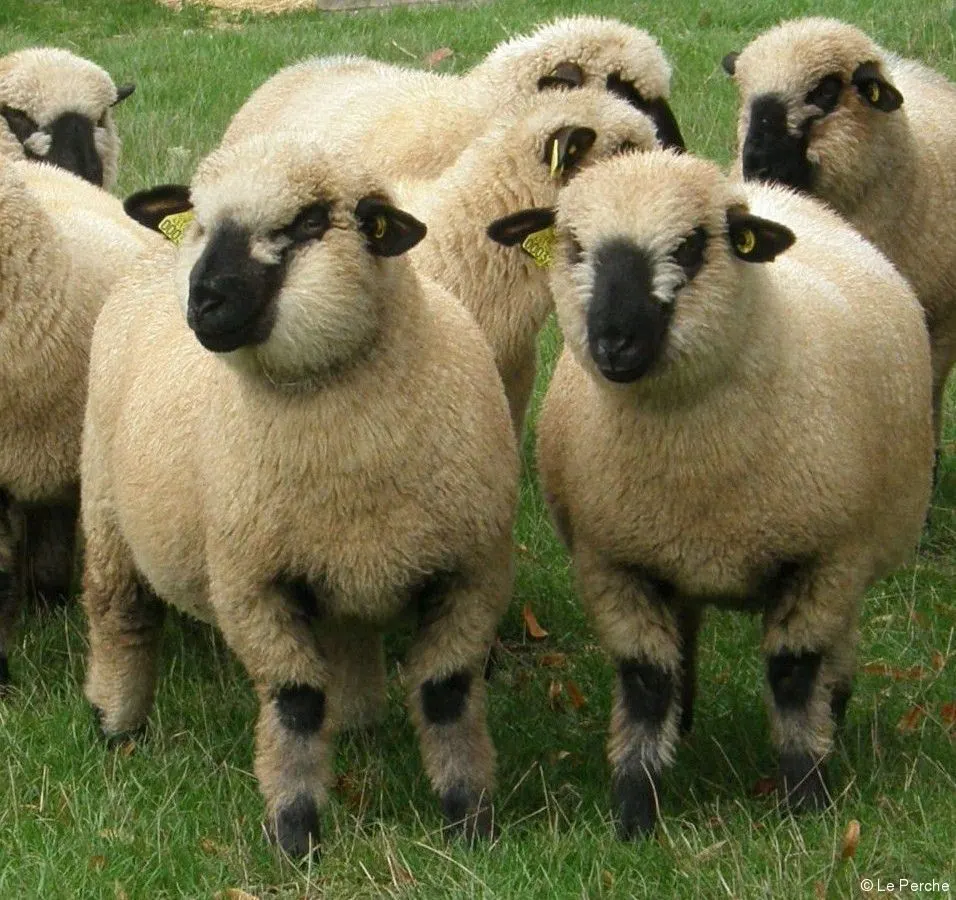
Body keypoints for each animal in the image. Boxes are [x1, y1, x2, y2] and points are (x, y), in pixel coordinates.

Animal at [84, 134, 518, 858]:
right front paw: (295, 833)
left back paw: (362, 724)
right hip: (105, 509)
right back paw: (116, 724)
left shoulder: (472, 572)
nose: (203, 301)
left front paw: (471, 822)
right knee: (121, 615)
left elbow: (446, 694)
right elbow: (296, 704)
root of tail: (149, 259)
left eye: (310, 222)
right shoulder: (252, 584)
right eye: (200, 221)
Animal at [526, 149, 933, 837]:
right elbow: (646, 682)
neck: (697, 456)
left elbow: (794, 675)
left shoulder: (822, 558)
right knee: (683, 643)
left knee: (837, 647)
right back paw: (685, 725)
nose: (614, 341)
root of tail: (762, 191)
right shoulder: (615, 561)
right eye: (575, 247)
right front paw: (635, 809)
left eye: (691, 246)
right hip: (672, 557)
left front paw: (807, 796)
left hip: (855, 554)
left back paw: (836, 717)